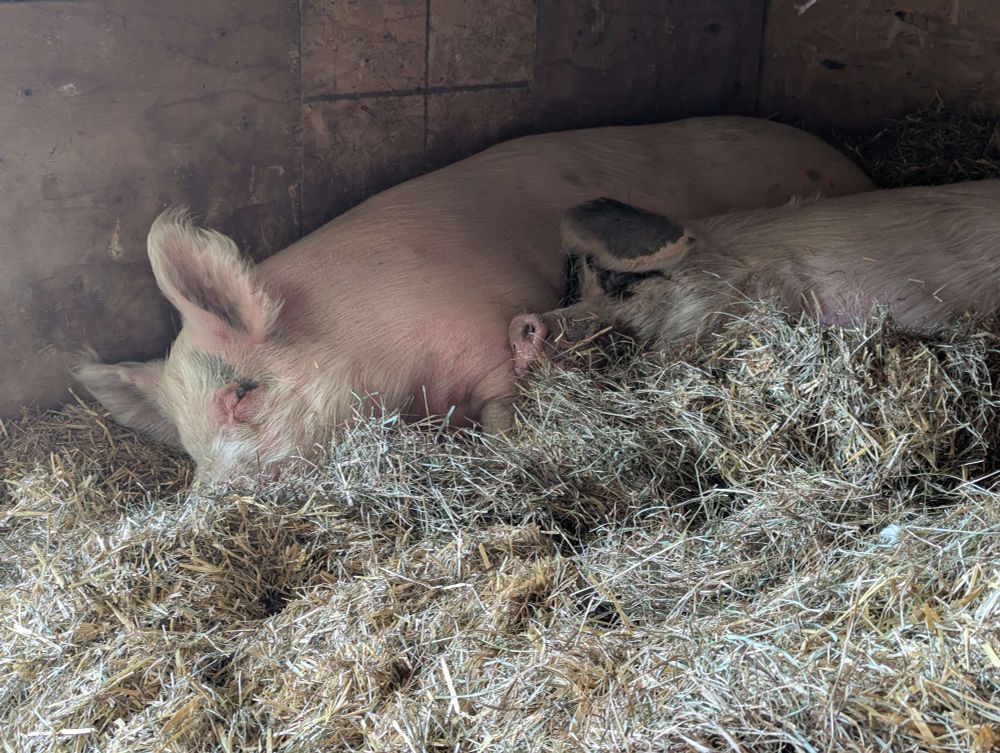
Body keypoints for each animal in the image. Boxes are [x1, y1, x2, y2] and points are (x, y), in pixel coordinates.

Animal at [74, 116, 873, 483]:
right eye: (186, 447)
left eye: (240, 394)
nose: (206, 501)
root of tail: (851, 163)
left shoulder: (490, 325)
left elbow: (504, 406)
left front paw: (508, 446)